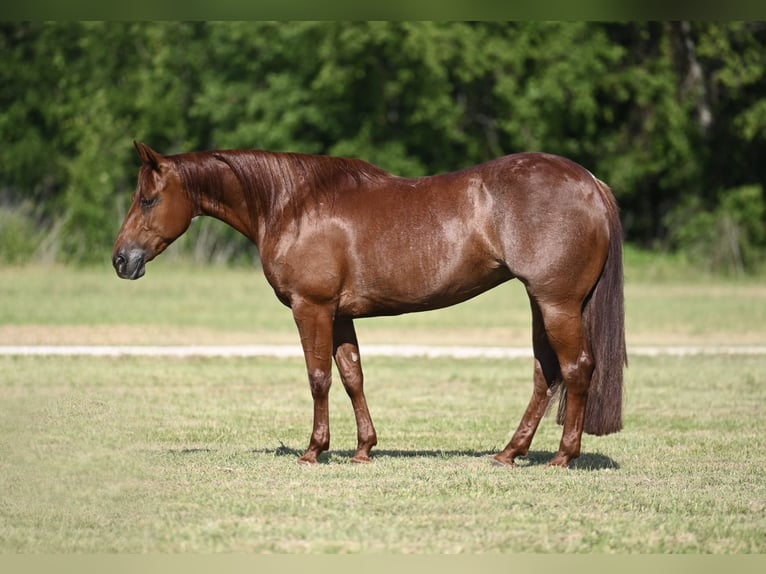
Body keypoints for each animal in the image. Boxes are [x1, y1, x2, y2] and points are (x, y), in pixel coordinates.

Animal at [113, 141, 626, 467]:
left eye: (148, 199)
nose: (121, 260)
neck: (291, 204)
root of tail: (589, 181)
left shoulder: (312, 308)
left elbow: (318, 378)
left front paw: (314, 450)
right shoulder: (340, 316)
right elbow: (352, 376)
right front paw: (364, 449)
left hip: (557, 303)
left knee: (576, 368)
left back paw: (562, 456)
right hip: (543, 304)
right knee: (546, 373)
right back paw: (509, 453)